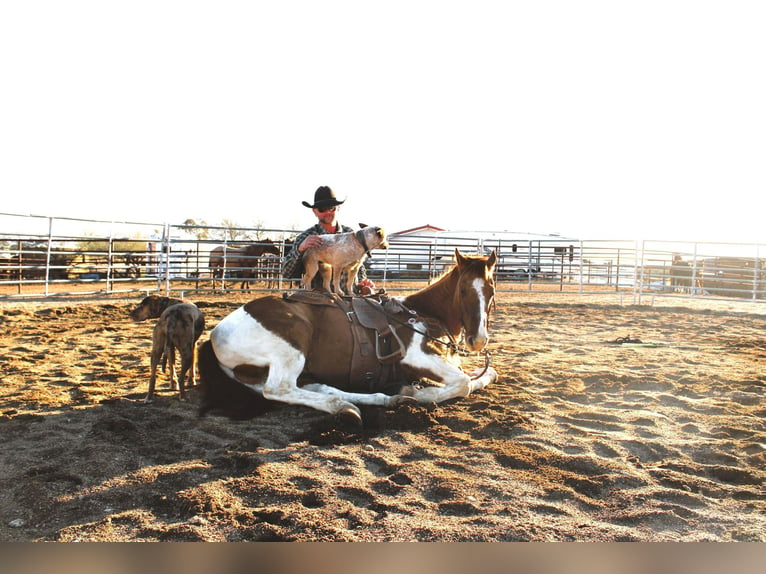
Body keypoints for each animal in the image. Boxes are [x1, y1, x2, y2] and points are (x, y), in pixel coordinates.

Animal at [198, 251, 498, 428]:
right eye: (463, 290)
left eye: (491, 290)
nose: (478, 340)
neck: (420, 313)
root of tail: (214, 334)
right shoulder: (417, 357)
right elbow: (464, 384)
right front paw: (418, 393)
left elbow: (484, 375)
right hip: (291, 346)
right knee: (278, 389)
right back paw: (345, 406)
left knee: (311, 387)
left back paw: (377, 399)